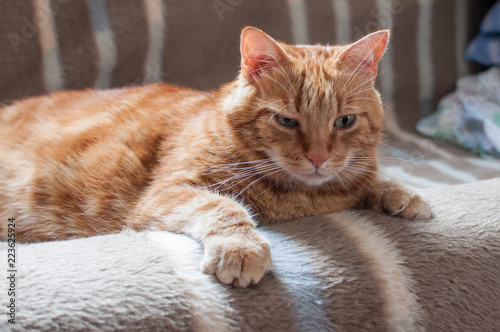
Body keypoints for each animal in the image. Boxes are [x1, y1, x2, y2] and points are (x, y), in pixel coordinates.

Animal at [0, 27, 430, 288]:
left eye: (344, 121)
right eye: (286, 121)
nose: (318, 158)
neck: (304, 196)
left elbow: (369, 177)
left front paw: (401, 193)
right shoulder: (169, 192)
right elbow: (223, 207)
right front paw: (241, 248)